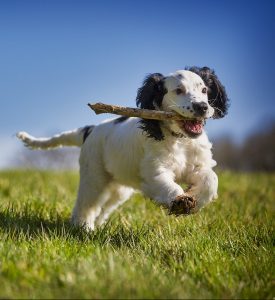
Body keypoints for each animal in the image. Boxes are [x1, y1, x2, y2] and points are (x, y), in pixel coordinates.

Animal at [16, 66, 229, 230]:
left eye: (204, 90)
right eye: (178, 91)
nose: (202, 107)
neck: (180, 140)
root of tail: (90, 129)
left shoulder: (198, 165)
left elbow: (211, 179)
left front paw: (194, 199)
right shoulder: (154, 172)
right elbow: (167, 184)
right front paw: (180, 201)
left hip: (119, 189)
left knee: (103, 208)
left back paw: (96, 227)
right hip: (94, 176)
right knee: (86, 204)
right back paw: (83, 228)